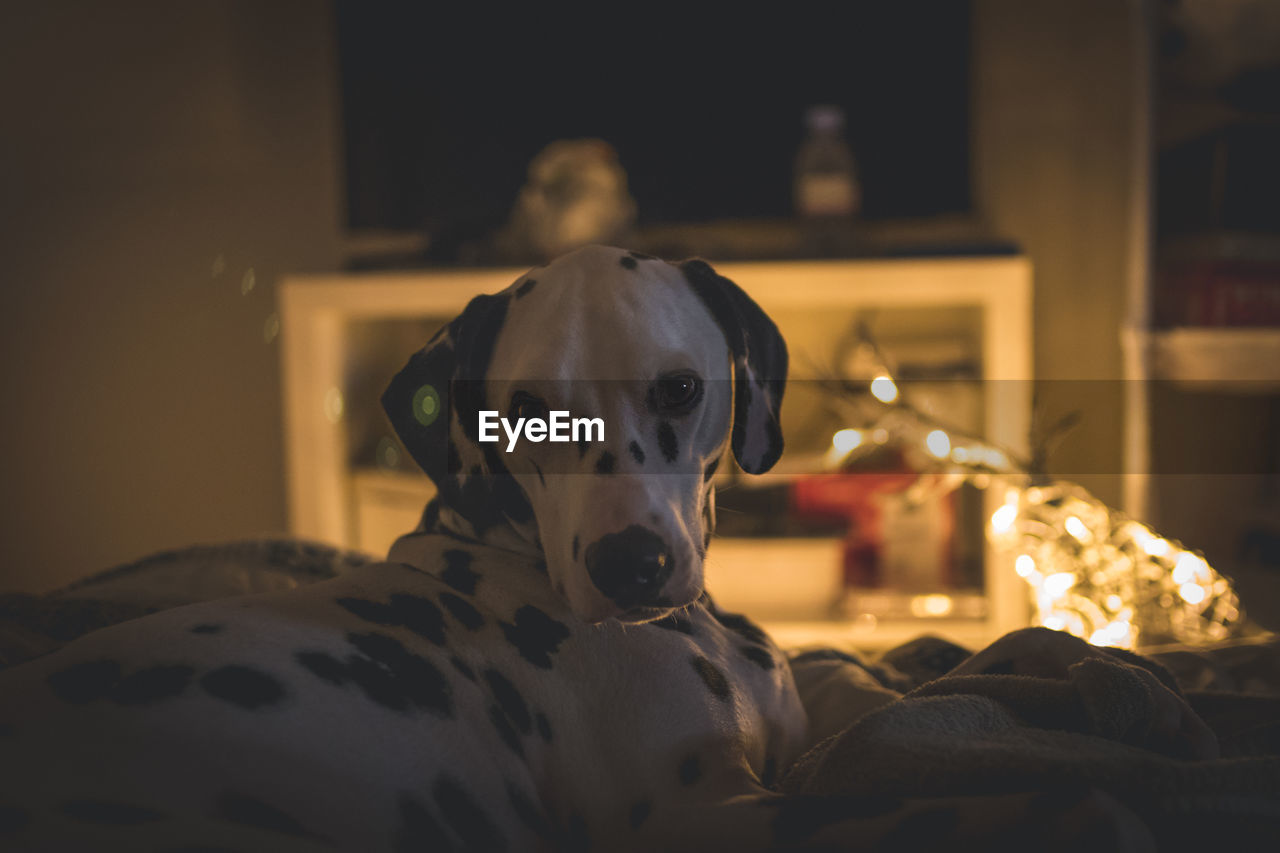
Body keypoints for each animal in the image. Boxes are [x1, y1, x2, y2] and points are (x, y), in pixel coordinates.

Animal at [0, 242, 1152, 845]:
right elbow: (909, 797)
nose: (629, 565)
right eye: (522, 413)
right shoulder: (714, 815)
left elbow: (873, 691)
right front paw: (1063, 796)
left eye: (678, 389)